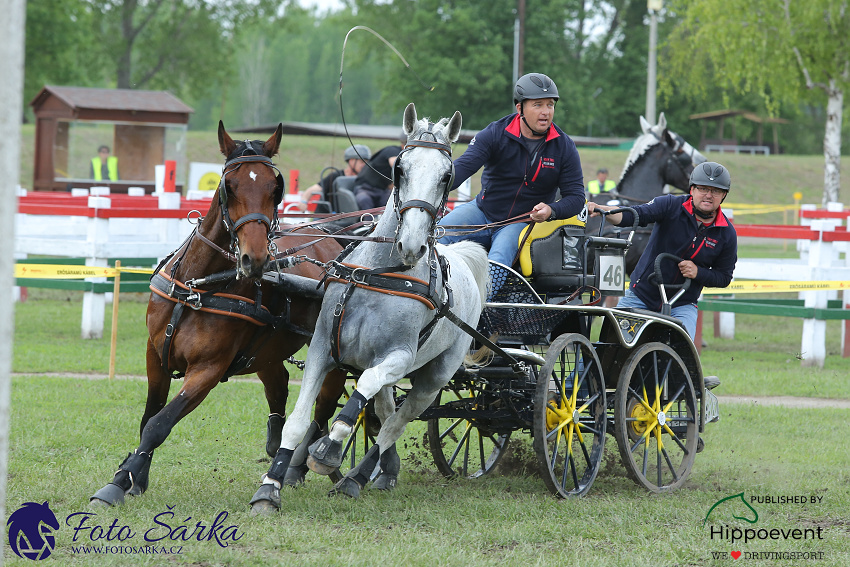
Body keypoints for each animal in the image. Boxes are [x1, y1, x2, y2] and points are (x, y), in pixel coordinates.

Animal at [91, 122, 346, 508]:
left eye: (275, 188)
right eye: (230, 185)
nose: (255, 259)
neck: (197, 285)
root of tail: (332, 241)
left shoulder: (208, 370)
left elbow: (159, 424)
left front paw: (118, 482)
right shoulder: (154, 355)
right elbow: (148, 416)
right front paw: (134, 476)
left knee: (324, 407)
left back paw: (304, 465)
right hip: (265, 350)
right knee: (279, 386)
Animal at [248, 103, 486, 516]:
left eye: (447, 176)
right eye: (400, 168)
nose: (412, 245)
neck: (381, 273)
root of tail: (461, 255)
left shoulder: (398, 357)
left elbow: (360, 394)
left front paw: (328, 450)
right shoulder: (322, 348)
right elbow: (298, 420)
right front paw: (270, 486)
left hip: (434, 377)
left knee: (394, 424)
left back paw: (355, 478)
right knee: (386, 412)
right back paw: (378, 473)